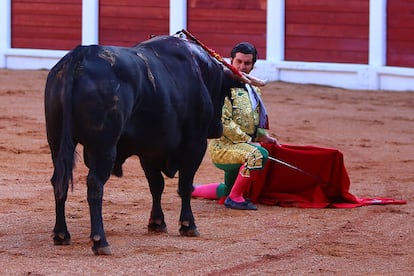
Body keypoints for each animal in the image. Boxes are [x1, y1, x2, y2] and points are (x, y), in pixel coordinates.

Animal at [44, 34, 246, 254]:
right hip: (104, 147)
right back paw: (100, 241)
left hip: (56, 141)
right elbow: (185, 185)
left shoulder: (149, 151)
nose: (217, 128)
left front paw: (157, 222)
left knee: (59, 181)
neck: (199, 70)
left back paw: (61, 234)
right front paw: (188, 225)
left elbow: (156, 185)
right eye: (226, 93)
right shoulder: (195, 144)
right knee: (95, 184)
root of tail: (80, 55)